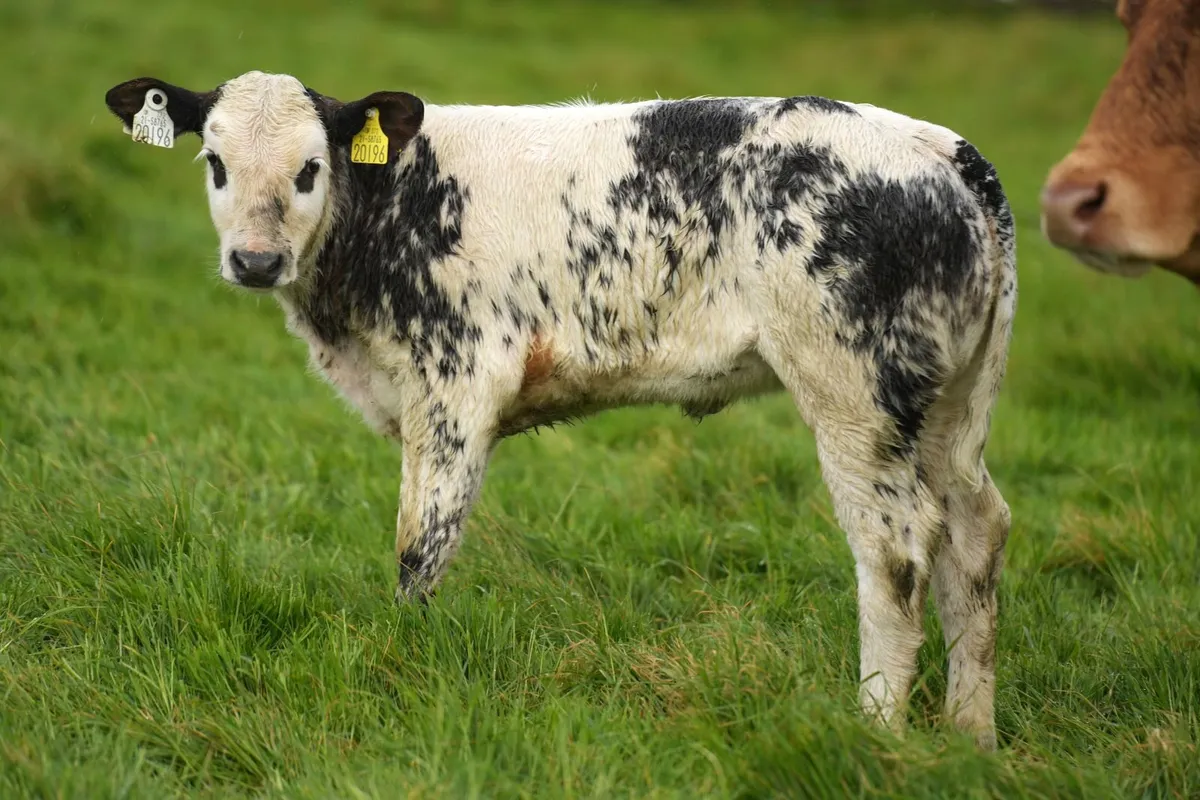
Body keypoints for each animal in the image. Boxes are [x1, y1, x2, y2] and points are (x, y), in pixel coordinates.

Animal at [104, 70, 1017, 748]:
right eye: (215, 163)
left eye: (308, 169)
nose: (255, 260)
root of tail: (940, 147)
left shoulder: (454, 383)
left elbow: (419, 549)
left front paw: (403, 665)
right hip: (942, 408)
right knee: (975, 532)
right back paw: (970, 736)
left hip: (855, 394)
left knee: (895, 550)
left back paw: (878, 729)